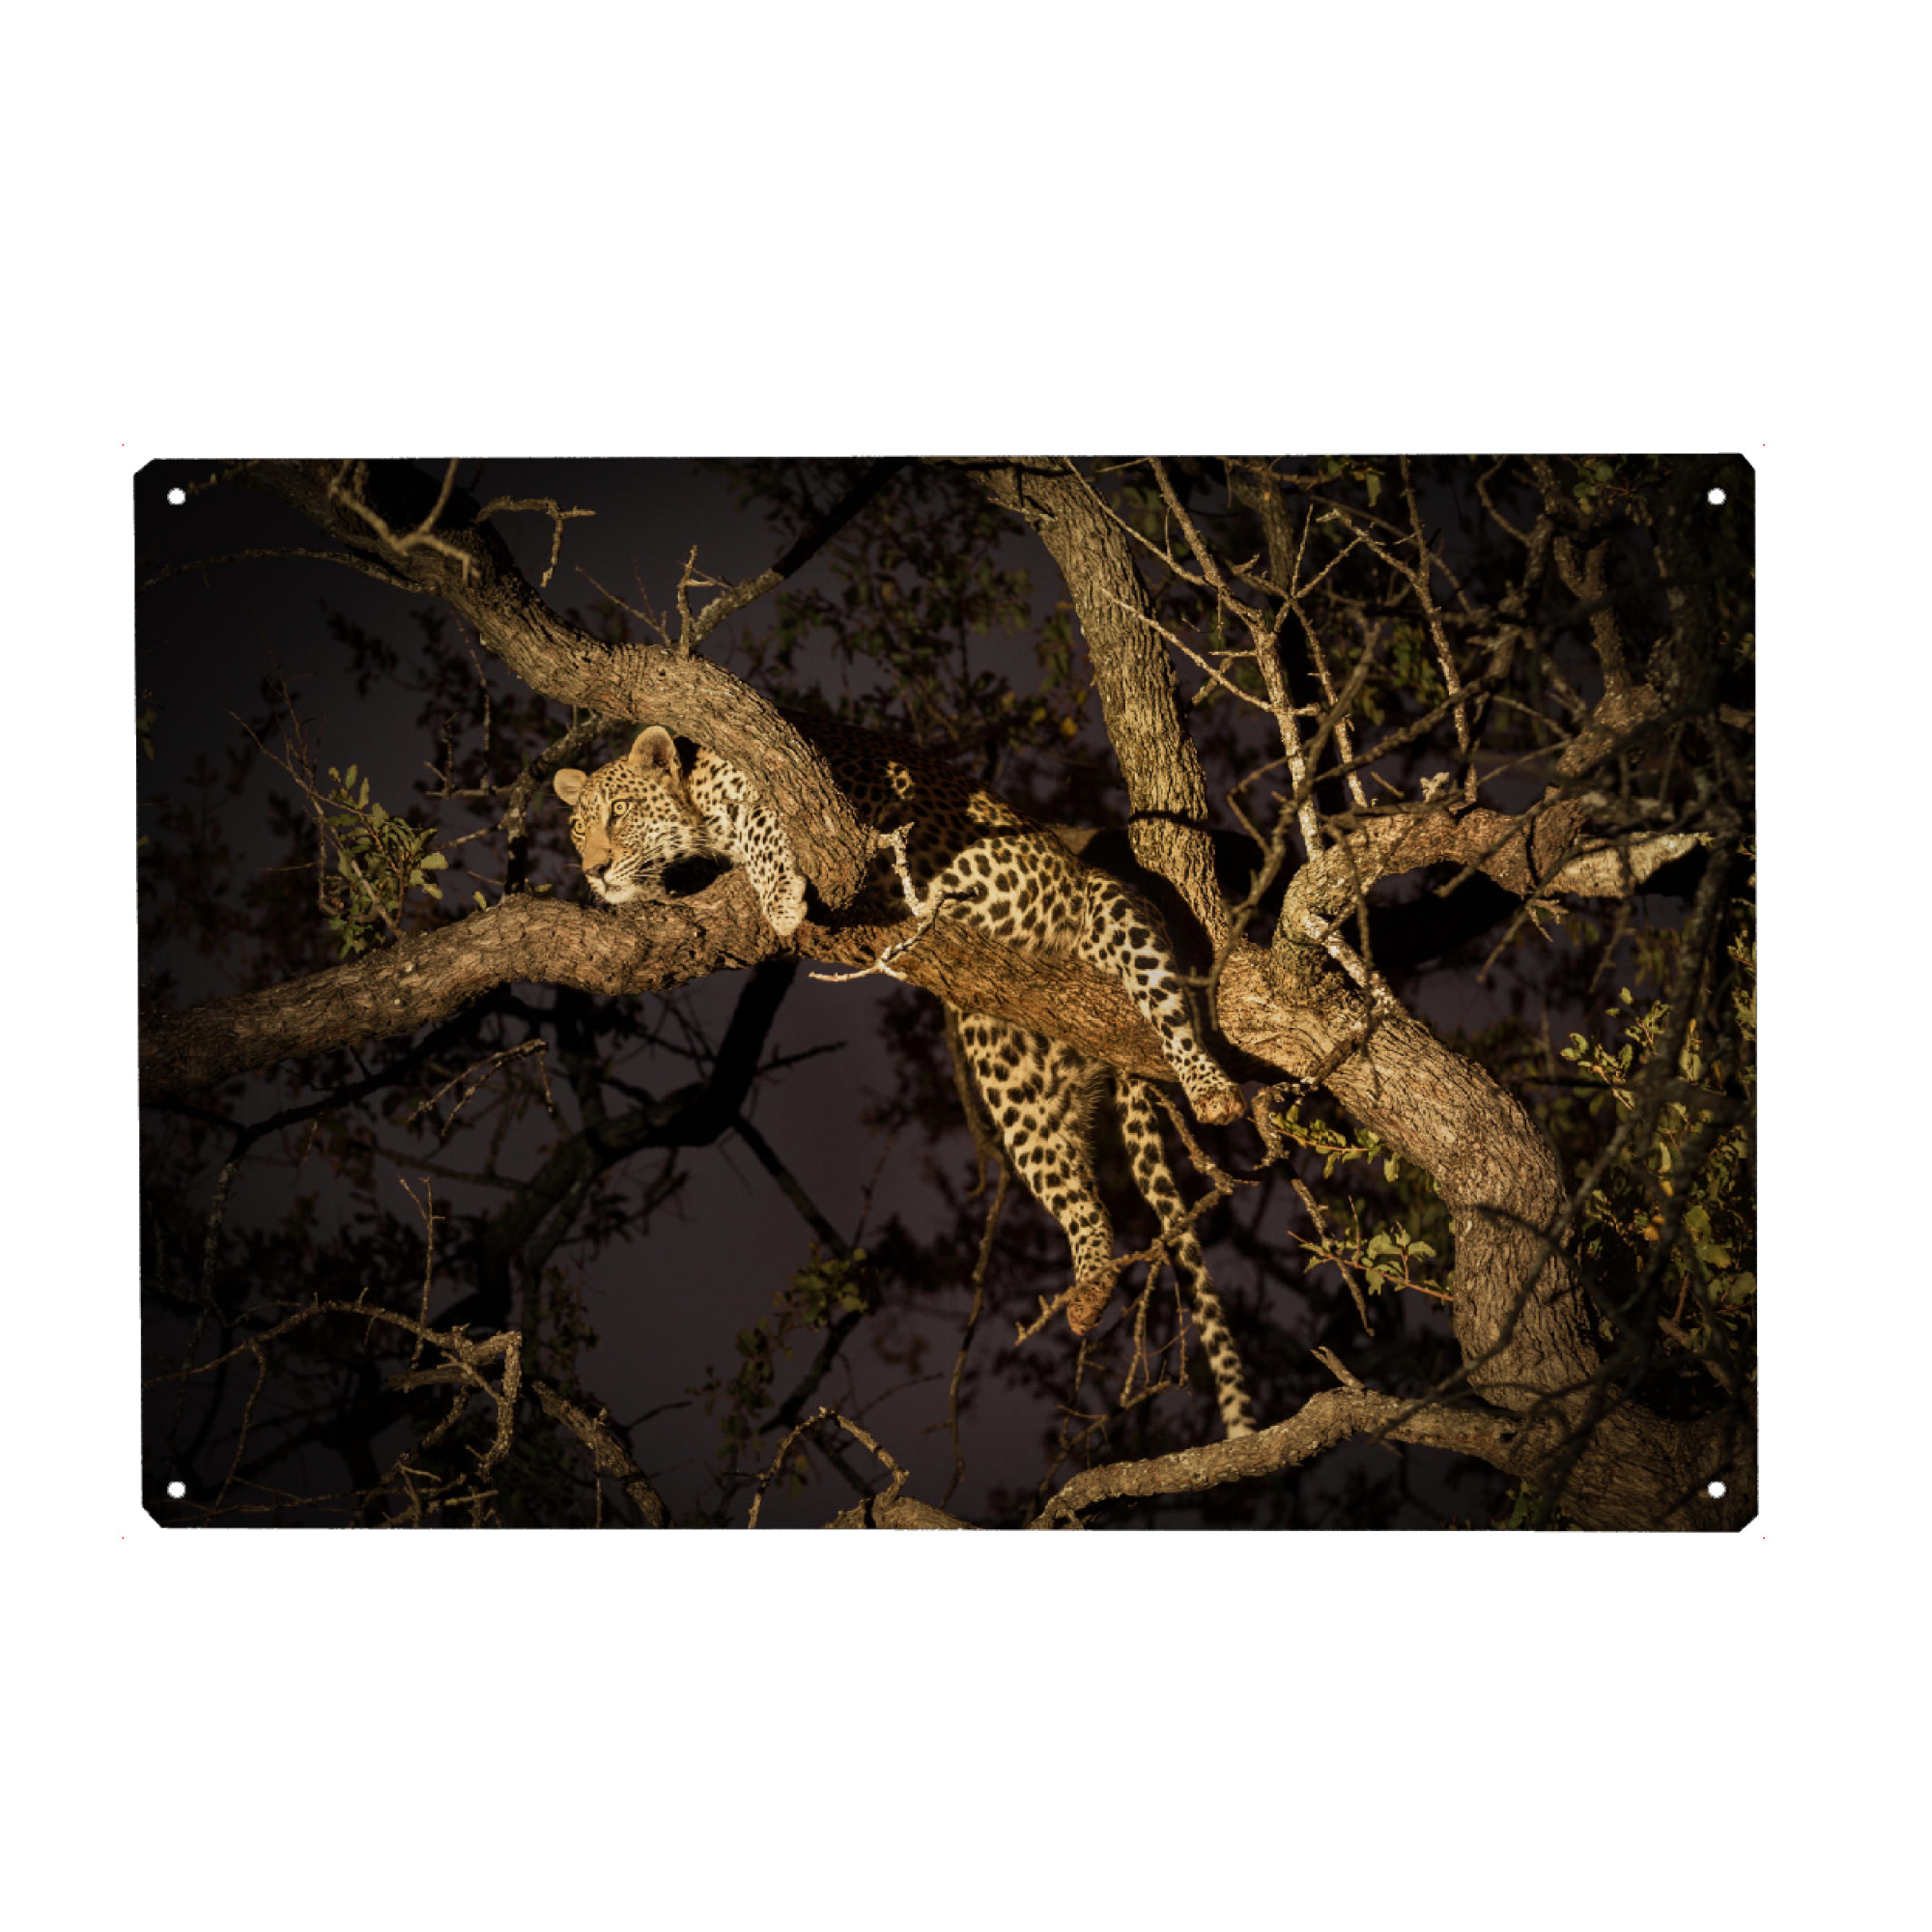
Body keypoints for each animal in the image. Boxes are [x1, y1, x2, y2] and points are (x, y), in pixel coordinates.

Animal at [553, 717, 1257, 1438]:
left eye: (620, 812)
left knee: (1169, 1010)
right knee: (1079, 1196)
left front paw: (778, 898)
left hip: (1114, 913)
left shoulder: (850, 793)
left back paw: (1210, 1088)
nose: (594, 871)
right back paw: (1088, 1288)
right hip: (1005, 1065)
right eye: (577, 831)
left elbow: (766, 821)